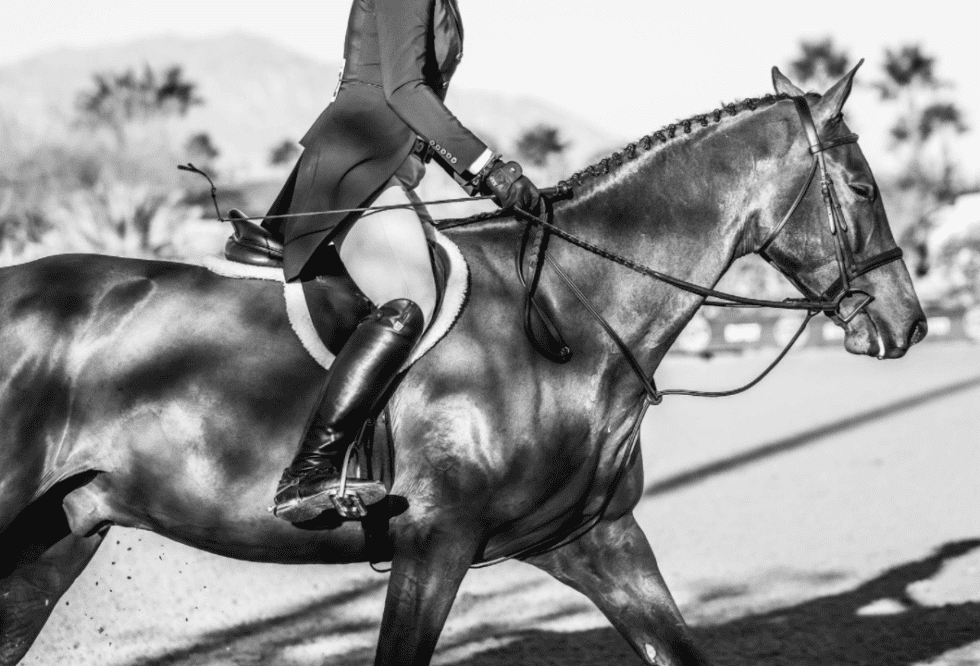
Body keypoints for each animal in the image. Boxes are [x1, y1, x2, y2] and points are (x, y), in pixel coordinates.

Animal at [0, 65, 926, 666]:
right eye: (865, 188)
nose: (907, 324)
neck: (570, 313)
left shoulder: (598, 538)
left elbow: (679, 647)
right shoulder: (434, 544)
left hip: (53, 539)